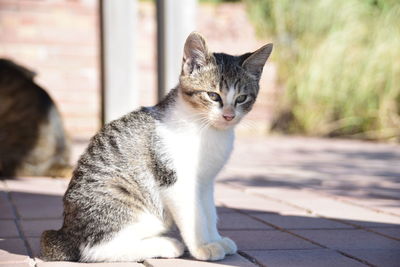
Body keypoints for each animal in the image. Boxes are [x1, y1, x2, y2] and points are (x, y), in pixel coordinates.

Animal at [40, 32, 272, 262]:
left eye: (242, 98)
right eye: (213, 95)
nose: (228, 116)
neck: (207, 130)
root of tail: (66, 233)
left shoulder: (205, 181)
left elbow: (208, 211)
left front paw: (215, 239)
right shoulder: (175, 178)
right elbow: (194, 215)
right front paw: (203, 247)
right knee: (96, 249)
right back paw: (167, 245)